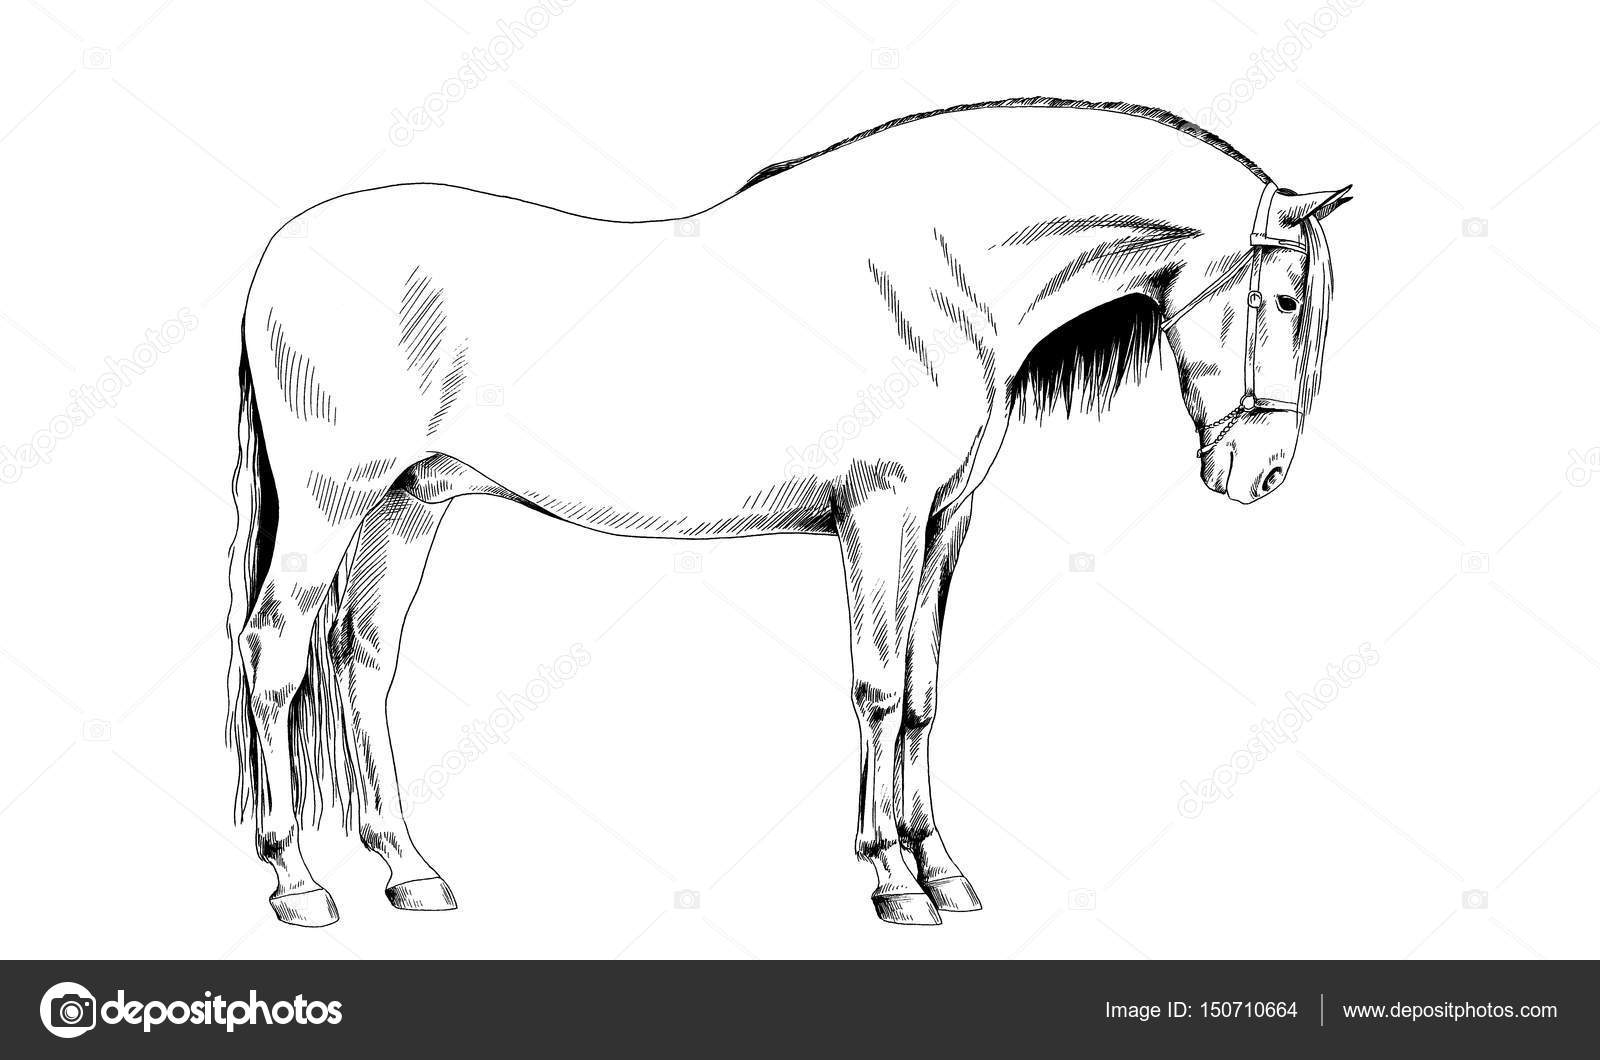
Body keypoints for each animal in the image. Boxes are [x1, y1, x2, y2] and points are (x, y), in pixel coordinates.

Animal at [227, 97, 1350, 929]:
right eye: (1284, 301)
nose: (1261, 472)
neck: (943, 274)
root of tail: (278, 255)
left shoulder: (945, 521)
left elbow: (924, 692)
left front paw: (945, 871)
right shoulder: (881, 513)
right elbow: (877, 689)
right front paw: (892, 879)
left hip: (409, 505)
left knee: (362, 663)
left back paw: (409, 872)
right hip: (333, 504)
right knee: (275, 655)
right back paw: (297, 883)